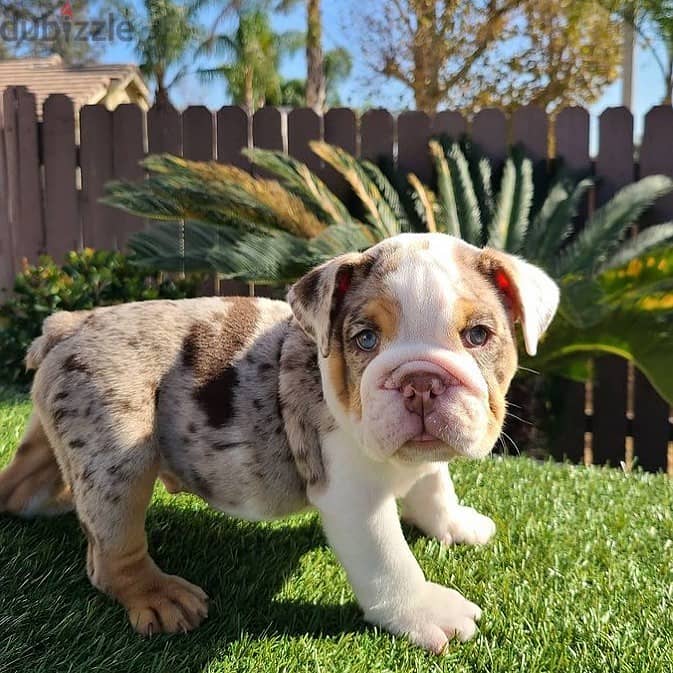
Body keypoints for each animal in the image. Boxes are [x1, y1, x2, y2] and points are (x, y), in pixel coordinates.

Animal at [0, 235, 556, 652]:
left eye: (478, 335)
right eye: (365, 339)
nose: (420, 381)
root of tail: (71, 323)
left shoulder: (421, 462)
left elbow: (434, 485)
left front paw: (454, 523)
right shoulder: (353, 499)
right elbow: (389, 561)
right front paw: (425, 612)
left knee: (25, 483)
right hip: (119, 454)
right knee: (110, 555)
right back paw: (158, 595)